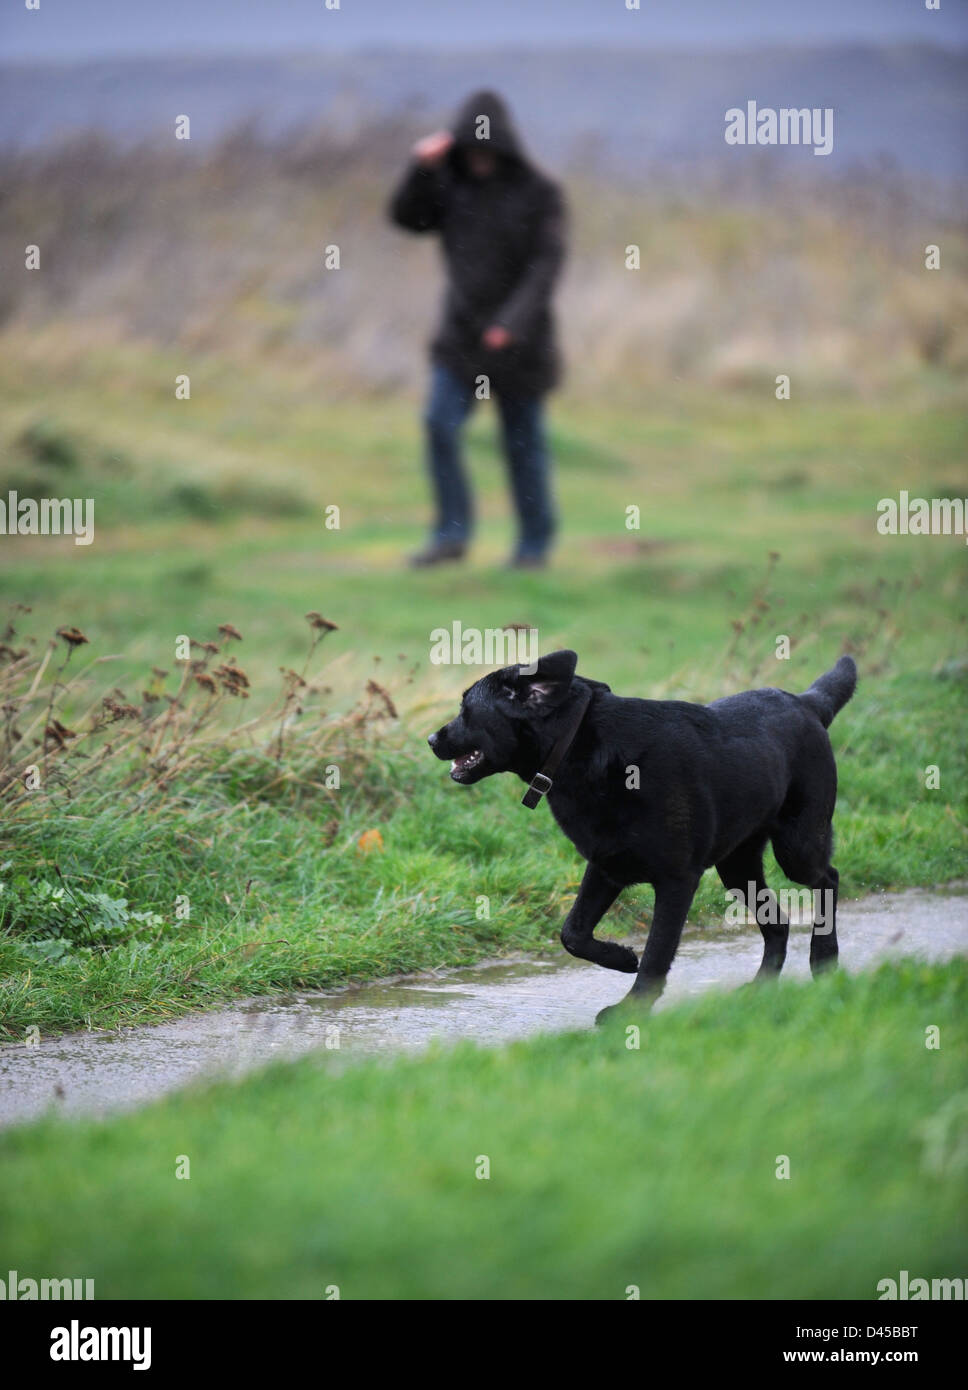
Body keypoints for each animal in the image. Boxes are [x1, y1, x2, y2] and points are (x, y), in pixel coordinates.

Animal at [428, 644, 856, 1017]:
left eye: (466, 710)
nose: (431, 739)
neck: (577, 746)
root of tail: (807, 703)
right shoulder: (606, 866)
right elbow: (573, 933)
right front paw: (621, 958)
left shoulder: (677, 879)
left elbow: (656, 954)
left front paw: (630, 1010)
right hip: (737, 865)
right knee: (778, 921)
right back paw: (762, 986)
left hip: (797, 846)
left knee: (828, 879)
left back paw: (824, 960)